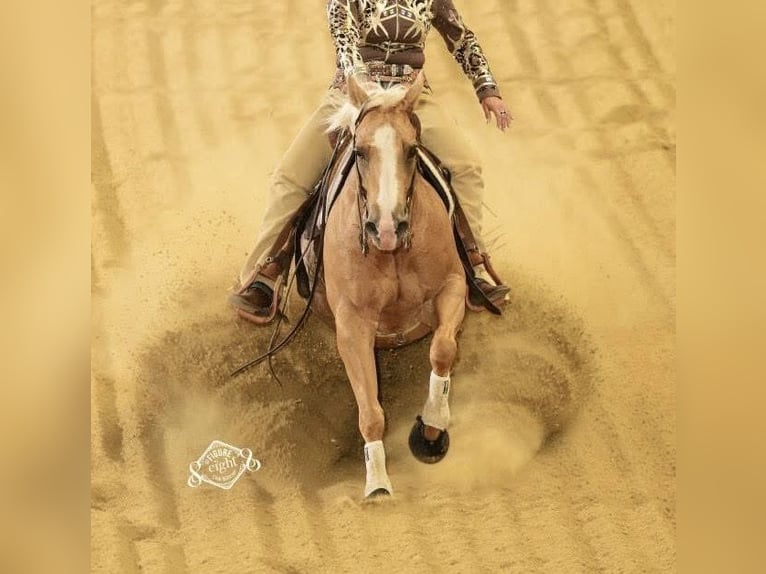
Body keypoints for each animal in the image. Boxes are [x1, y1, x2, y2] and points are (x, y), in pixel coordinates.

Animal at [321, 72, 467, 498]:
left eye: (412, 150)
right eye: (360, 151)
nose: (386, 229)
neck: (392, 255)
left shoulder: (454, 286)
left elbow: (443, 350)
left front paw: (433, 425)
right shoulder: (351, 327)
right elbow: (371, 413)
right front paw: (378, 486)